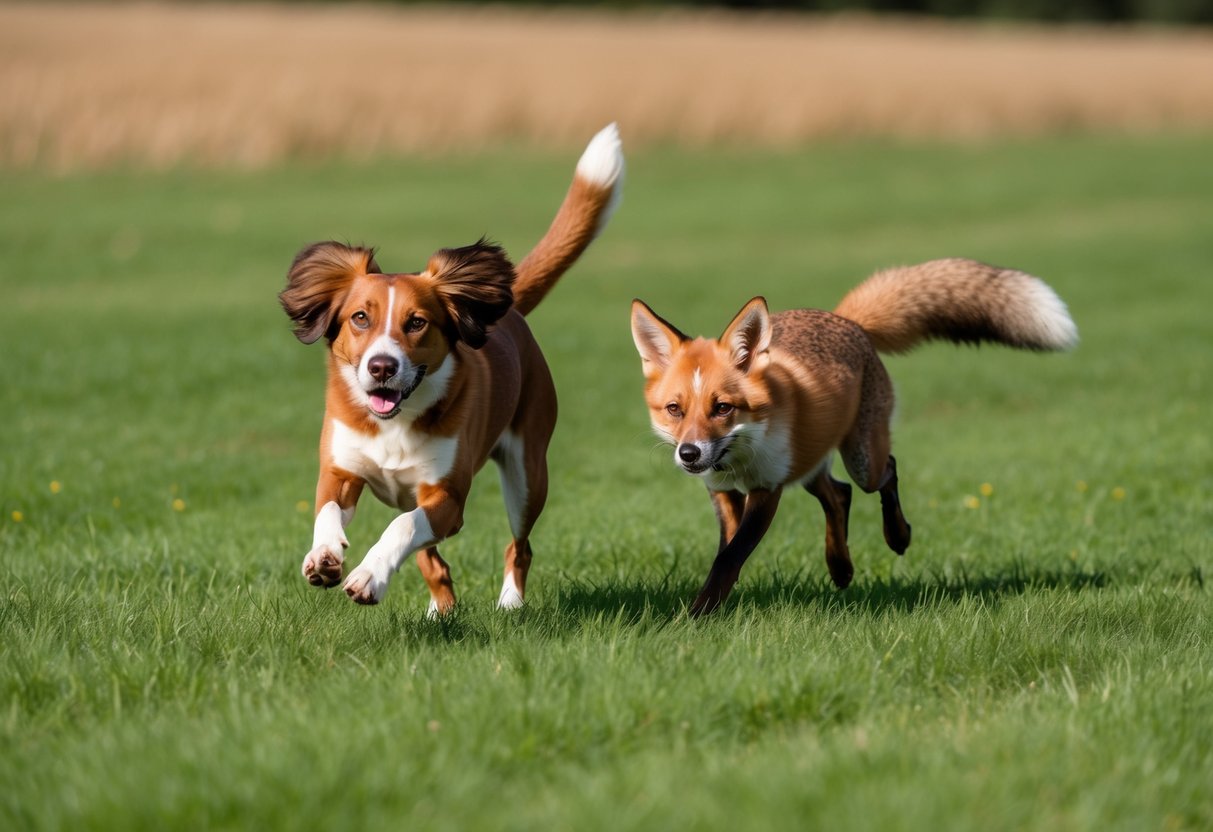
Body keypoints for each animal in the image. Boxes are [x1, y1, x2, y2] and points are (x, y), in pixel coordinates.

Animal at [630, 258, 1077, 615]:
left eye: (722, 408)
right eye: (675, 409)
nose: (689, 454)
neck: (739, 459)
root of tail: (847, 320)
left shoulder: (768, 488)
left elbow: (729, 557)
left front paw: (698, 615)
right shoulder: (722, 490)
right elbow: (727, 553)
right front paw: (711, 605)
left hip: (860, 459)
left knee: (884, 474)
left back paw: (897, 536)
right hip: (812, 464)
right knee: (838, 494)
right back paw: (840, 568)